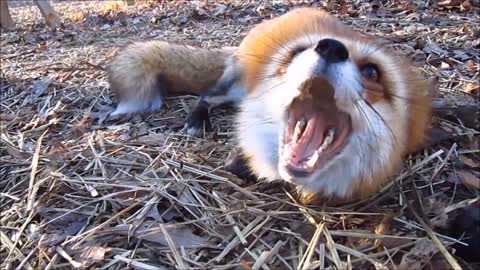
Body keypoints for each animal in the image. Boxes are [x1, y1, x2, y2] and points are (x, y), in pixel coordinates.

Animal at [107, 6, 436, 202]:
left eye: (372, 72)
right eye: (297, 53)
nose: (331, 47)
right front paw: (240, 162)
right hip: (236, 86)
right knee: (207, 95)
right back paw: (196, 121)